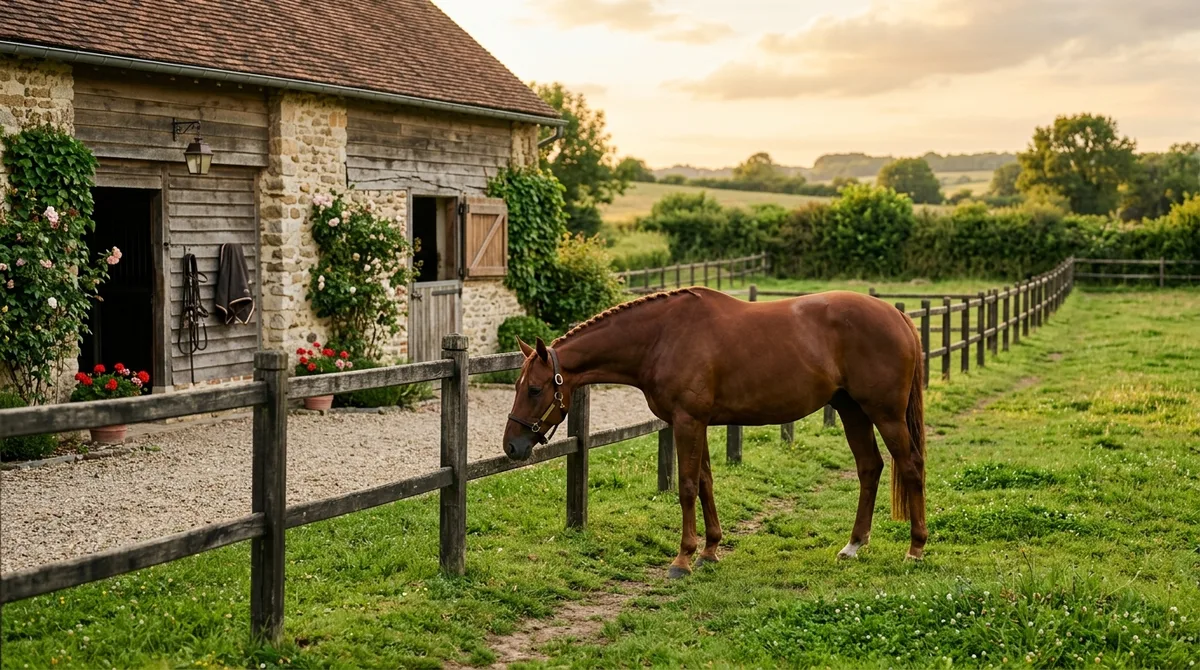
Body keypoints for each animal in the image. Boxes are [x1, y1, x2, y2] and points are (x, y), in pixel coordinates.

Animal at [502, 287, 926, 578]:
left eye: (534, 389)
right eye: (518, 385)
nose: (511, 446)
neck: (662, 337)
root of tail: (898, 316)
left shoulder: (688, 421)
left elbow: (687, 486)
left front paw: (683, 558)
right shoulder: (696, 422)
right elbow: (705, 482)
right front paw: (709, 551)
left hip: (885, 414)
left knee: (910, 467)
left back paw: (915, 549)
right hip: (852, 411)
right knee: (870, 468)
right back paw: (853, 545)